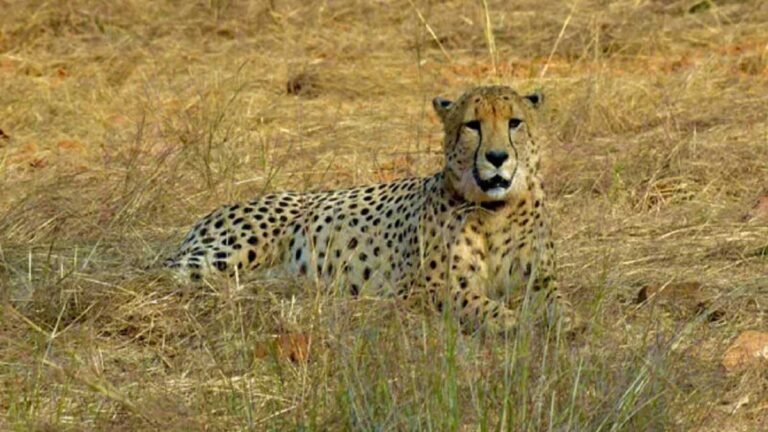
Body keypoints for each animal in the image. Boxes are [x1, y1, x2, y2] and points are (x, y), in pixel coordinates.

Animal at [164, 85, 576, 334]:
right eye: (473, 125)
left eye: (514, 122)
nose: (497, 157)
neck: (494, 211)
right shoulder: (429, 287)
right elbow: (476, 303)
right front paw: (509, 321)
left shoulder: (540, 279)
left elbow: (558, 303)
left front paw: (566, 321)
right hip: (225, 254)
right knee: (162, 273)